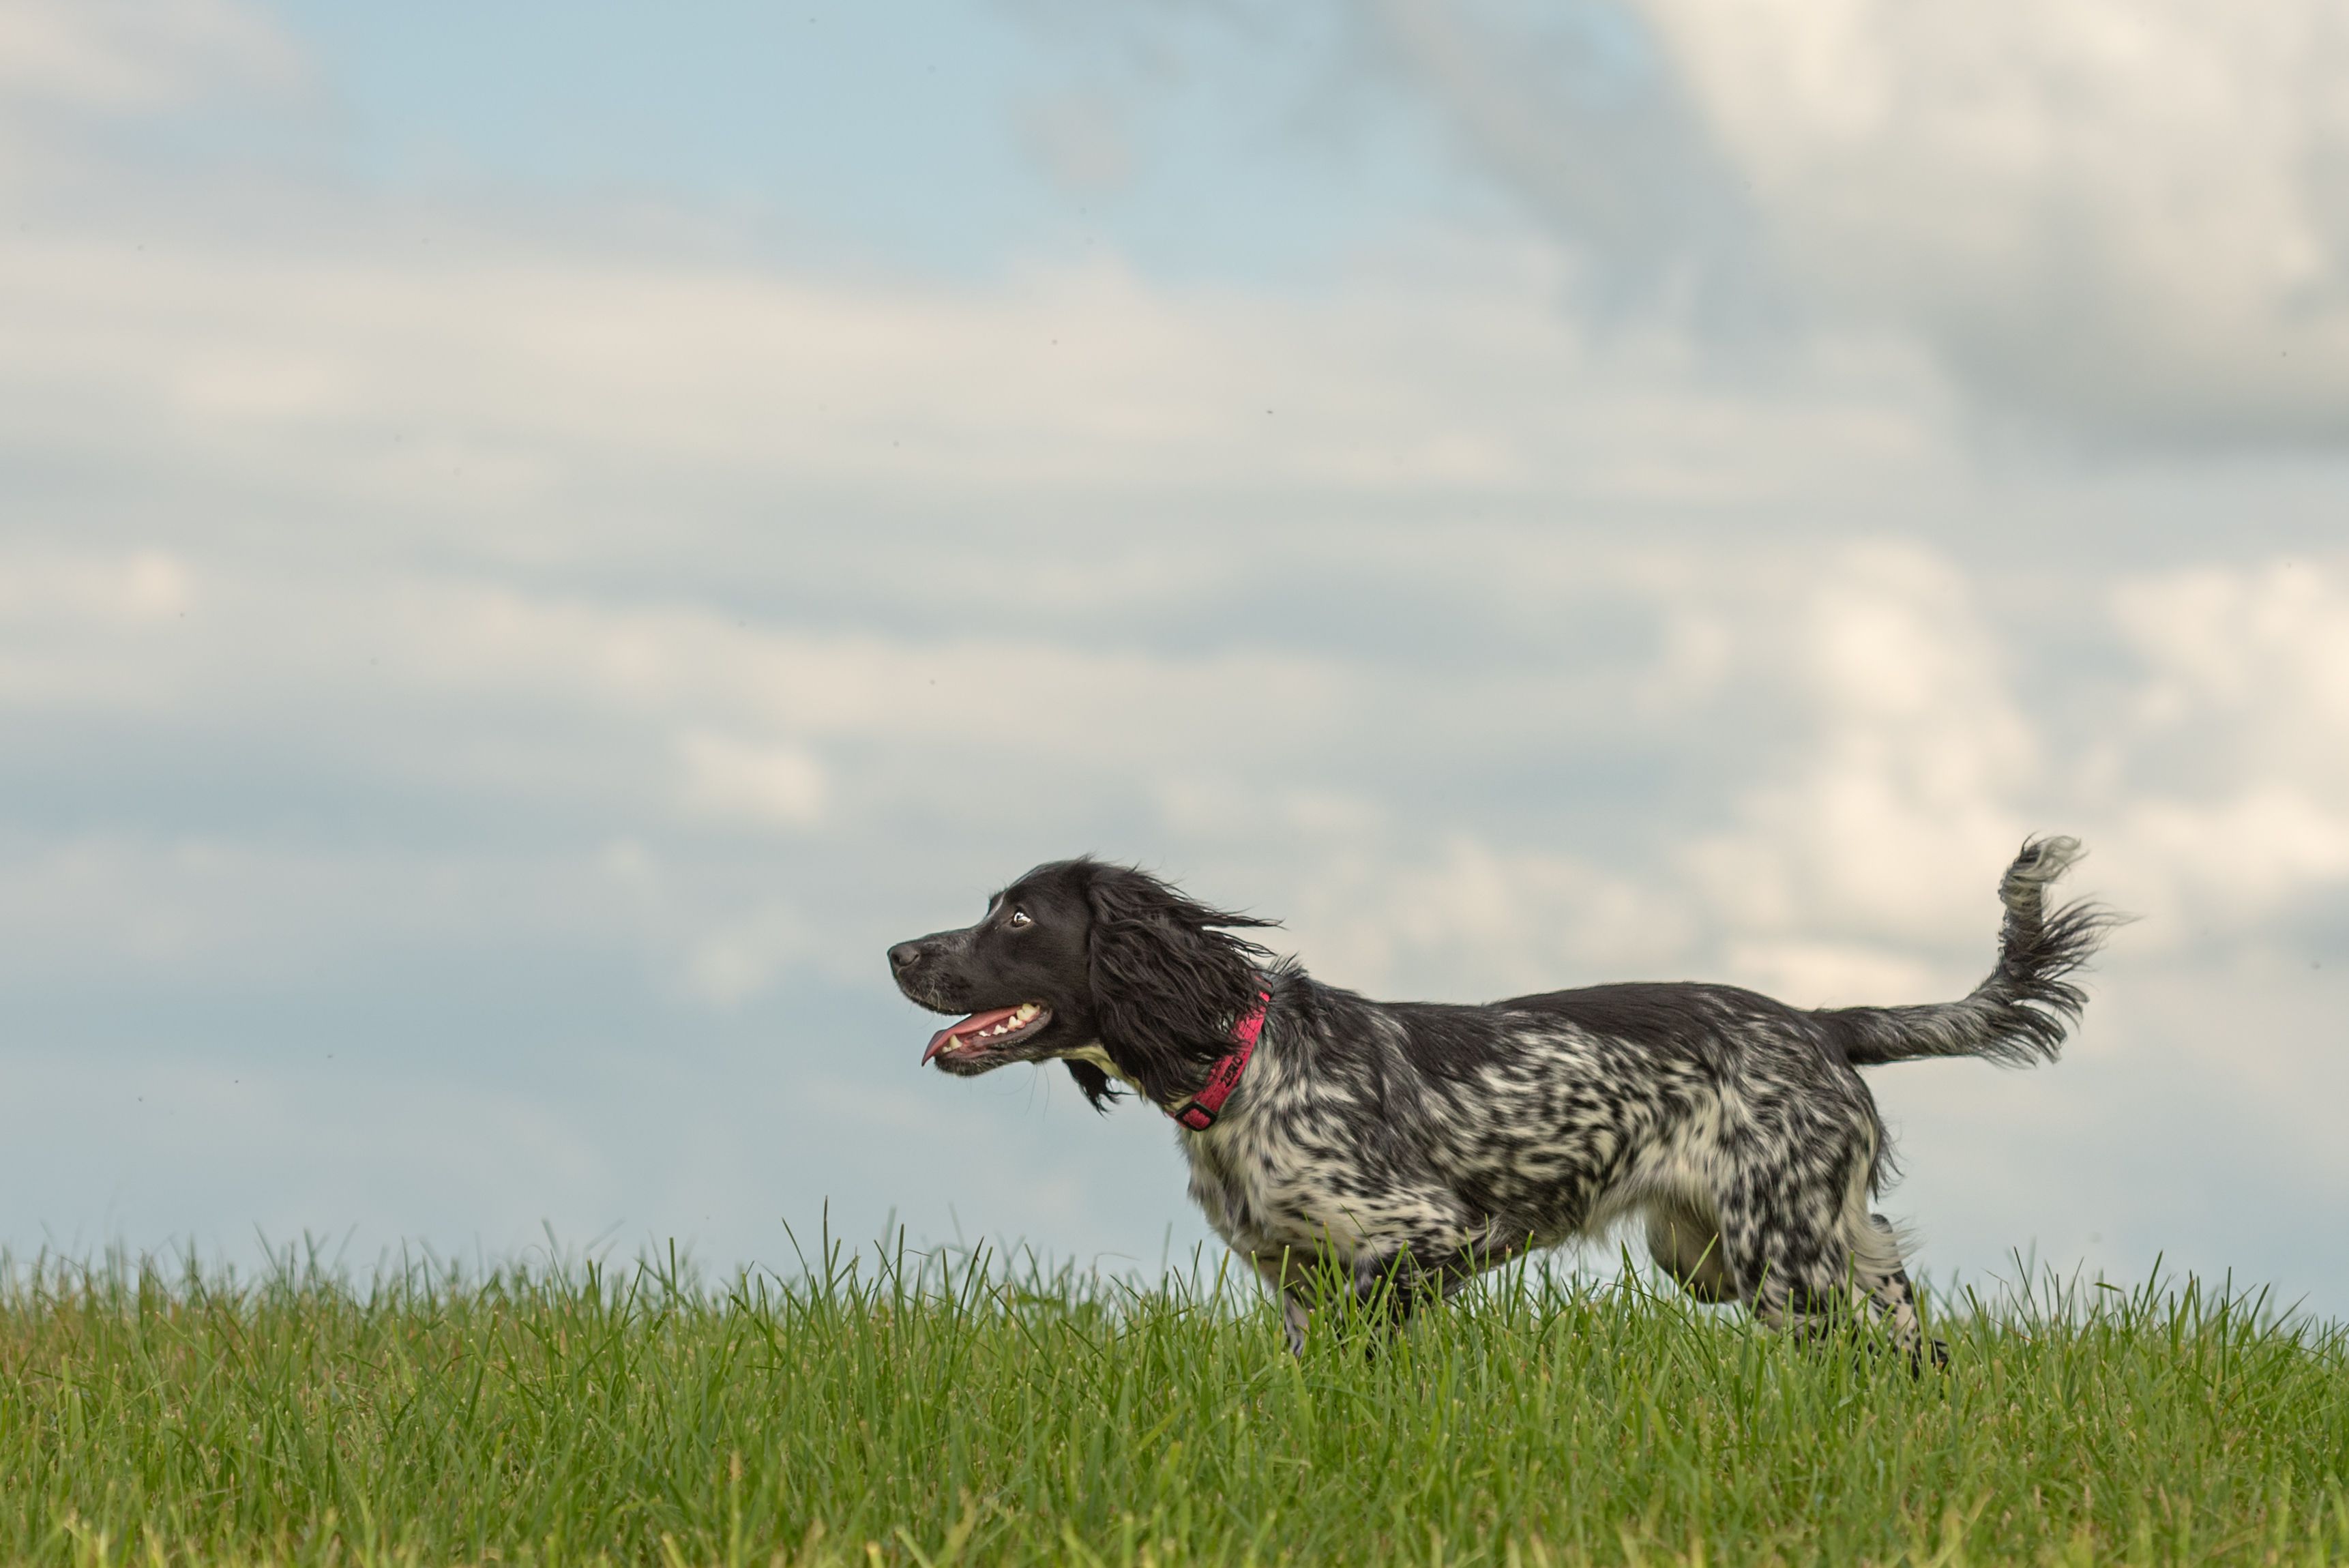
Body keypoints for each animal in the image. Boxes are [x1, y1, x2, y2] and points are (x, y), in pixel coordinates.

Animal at [887, 831, 2123, 1361]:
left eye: (1016, 917)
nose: (899, 950)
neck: (1244, 1057)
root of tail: (1819, 1021)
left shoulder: (1421, 1232)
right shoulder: (1295, 1281)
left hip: (1777, 1256)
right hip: (1756, 1247)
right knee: (1910, 1330)